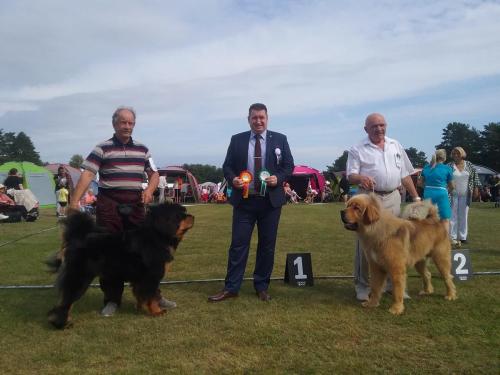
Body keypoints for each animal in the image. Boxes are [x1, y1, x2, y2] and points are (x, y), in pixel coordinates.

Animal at [47, 203, 193, 328]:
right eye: (181, 215)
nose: (192, 216)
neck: (157, 237)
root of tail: (76, 239)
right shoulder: (151, 277)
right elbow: (152, 296)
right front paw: (156, 311)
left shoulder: (140, 279)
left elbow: (141, 295)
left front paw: (139, 309)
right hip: (80, 278)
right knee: (65, 302)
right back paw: (62, 324)